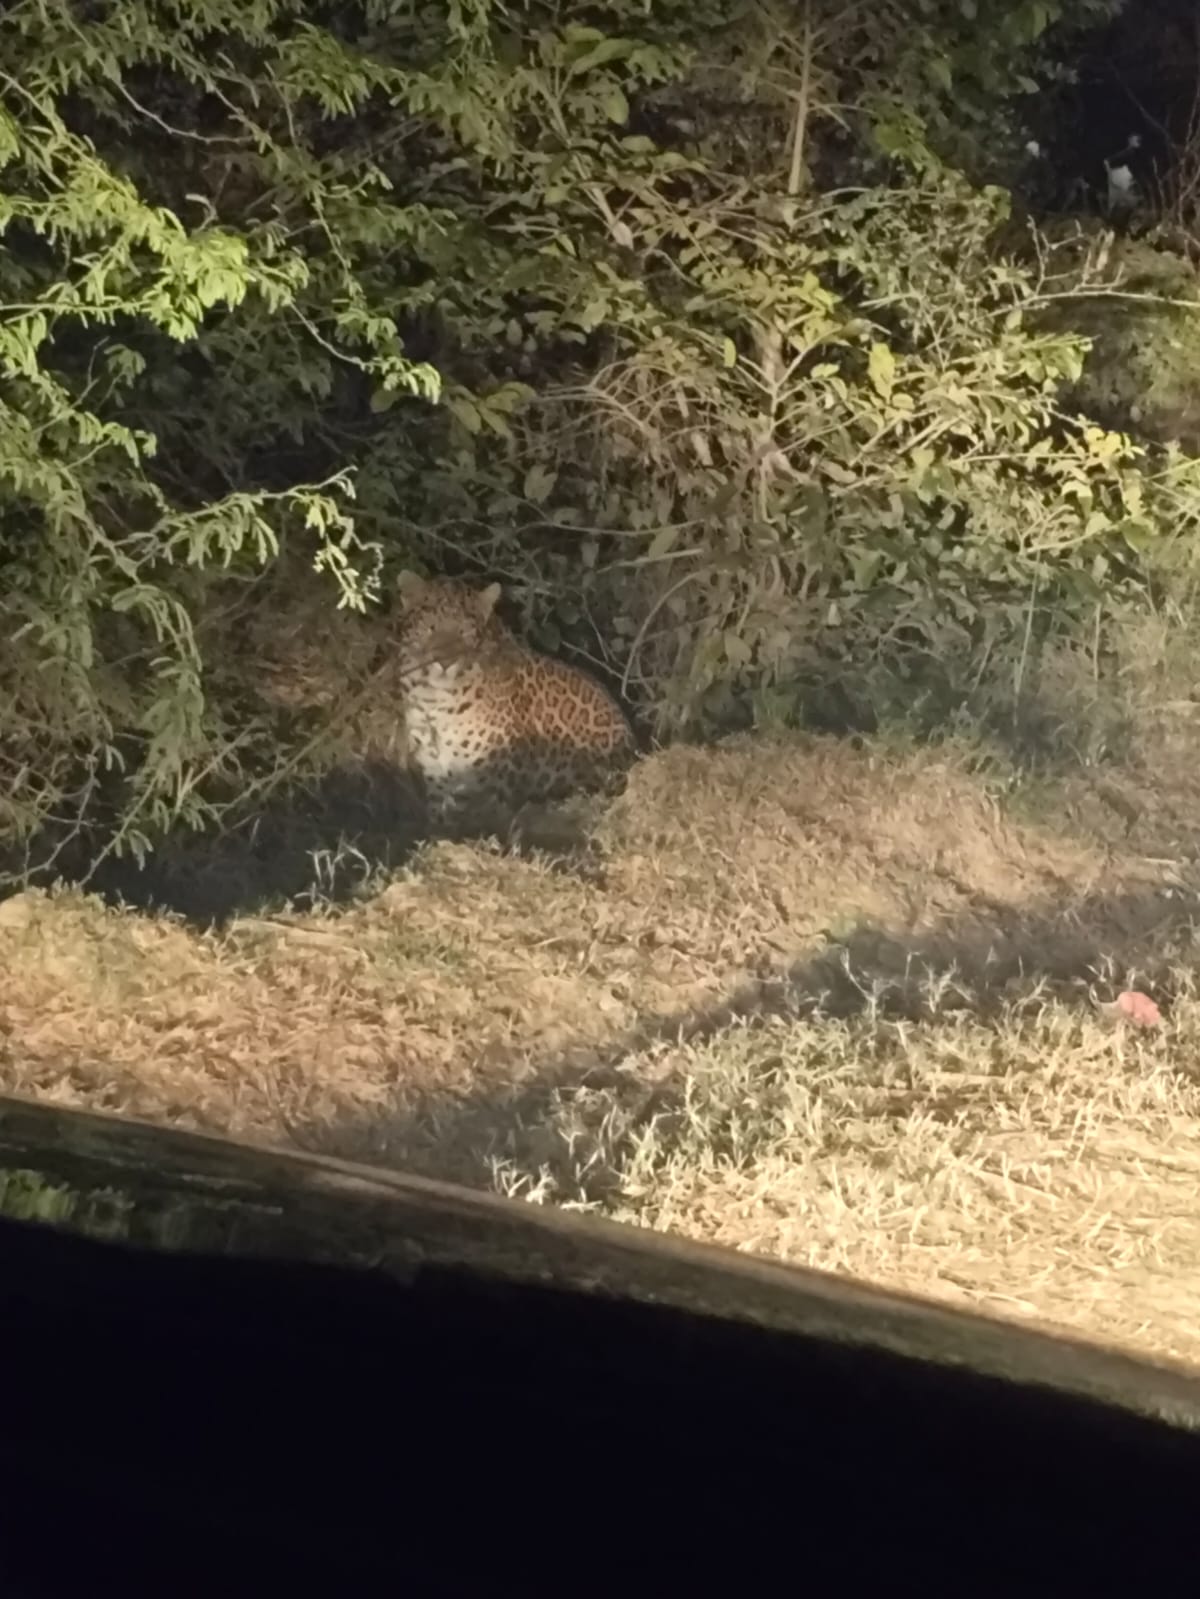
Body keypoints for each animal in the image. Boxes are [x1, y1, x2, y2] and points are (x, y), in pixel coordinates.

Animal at [394, 571, 636, 836]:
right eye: (430, 626)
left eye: (466, 631)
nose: (445, 662)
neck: (434, 698)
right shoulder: (435, 771)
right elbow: (440, 817)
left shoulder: (489, 777)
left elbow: (479, 817)